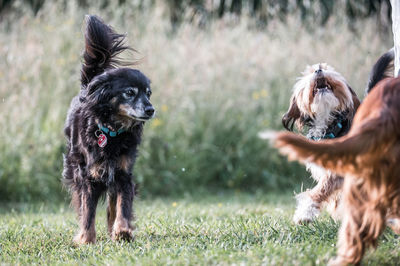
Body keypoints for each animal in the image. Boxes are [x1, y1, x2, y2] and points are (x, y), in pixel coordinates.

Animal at [63, 14, 155, 243]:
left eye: (148, 93)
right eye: (130, 92)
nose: (151, 109)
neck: (112, 131)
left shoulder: (122, 173)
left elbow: (122, 204)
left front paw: (122, 230)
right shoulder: (89, 176)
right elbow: (88, 211)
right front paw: (86, 239)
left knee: (113, 202)